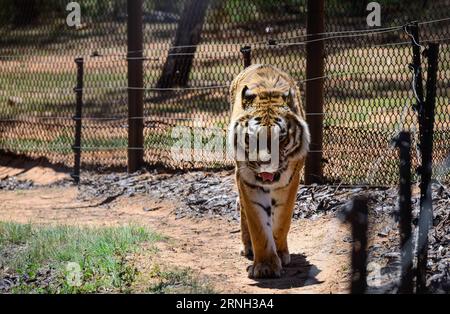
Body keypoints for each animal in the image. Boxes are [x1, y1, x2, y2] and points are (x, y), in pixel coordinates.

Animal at [229, 63, 310, 278]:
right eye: (252, 138)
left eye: (280, 138)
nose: (266, 162)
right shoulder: (249, 181)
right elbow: (258, 224)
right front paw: (265, 266)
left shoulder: (290, 180)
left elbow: (282, 219)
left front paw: (280, 253)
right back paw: (248, 247)